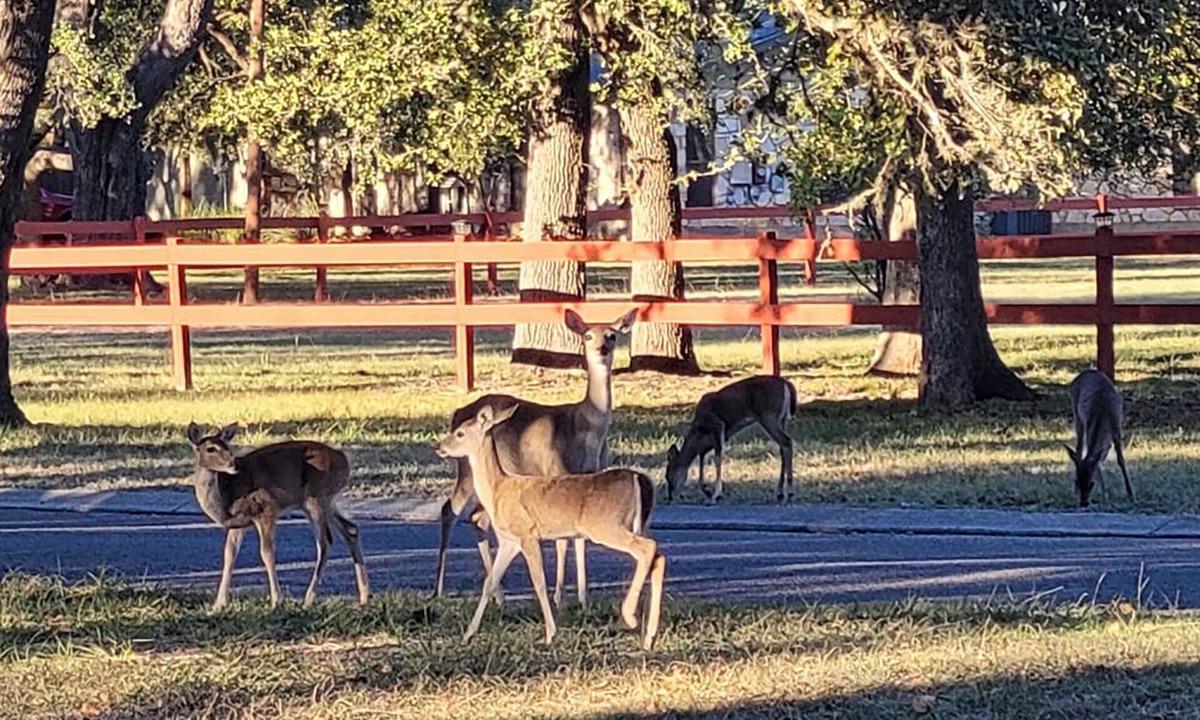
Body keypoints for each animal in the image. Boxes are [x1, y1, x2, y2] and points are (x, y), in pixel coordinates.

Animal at [186, 423, 370, 610]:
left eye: (227, 446)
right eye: (210, 448)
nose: (233, 464)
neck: (227, 498)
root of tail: (344, 460)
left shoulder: (266, 509)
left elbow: (267, 553)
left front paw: (276, 600)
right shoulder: (239, 524)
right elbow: (229, 555)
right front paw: (218, 605)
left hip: (316, 497)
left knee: (325, 542)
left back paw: (308, 599)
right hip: (326, 501)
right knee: (351, 529)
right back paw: (364, 597)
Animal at [433, 308, 638, 608]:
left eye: (612, 335)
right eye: (588, 335)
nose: (601, 348)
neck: (586, 428)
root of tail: (457, 413)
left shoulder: (587, 475)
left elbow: (579, 536)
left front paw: (583, 597)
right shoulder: (554, 468)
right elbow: (564, 539)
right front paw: (559, 596)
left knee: (477, 517)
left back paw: (498, 594)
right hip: (466, 468)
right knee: (450, 510)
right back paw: (438, 589)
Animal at [437, 403, 666, 650]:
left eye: (460, 433)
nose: (440, 447)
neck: (497, 490)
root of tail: (639, 479)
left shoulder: (527, 534)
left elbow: (538, 582)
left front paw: (549, 633)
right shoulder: (509, 541)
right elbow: (489, 582)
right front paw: (468, 634)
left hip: (607, 526)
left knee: (648, 548)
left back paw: (630, 616)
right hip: (637, 524)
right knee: (657, 558)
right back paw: (649, 636)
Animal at [665, 375, 798, 504]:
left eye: (668, 475)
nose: (670, 497)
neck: (699, 434)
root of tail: (787, 384)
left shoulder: (718, 426)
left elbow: (717, 460)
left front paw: (716, 495)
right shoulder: (707, 446)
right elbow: (702, 463)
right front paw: (707, 492)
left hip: (769, 416)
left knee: (787, 442)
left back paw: (789, 493)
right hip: (782, 420)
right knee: (783, 447)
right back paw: (780, 493)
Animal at [1064, 369, 1134, 508]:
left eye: (1091, 484)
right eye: (1077, 481)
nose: (1083, 503)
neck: (1103, 412)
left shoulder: (1117, 427)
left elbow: (1120, 459)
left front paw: (1130, 494)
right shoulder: (1089, 424)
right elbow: (1095, 459)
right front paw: (1104, 493)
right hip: (1077, 414)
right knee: (1079, 448)